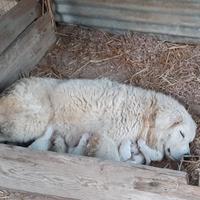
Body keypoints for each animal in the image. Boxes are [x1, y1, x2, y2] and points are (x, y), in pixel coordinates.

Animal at [0, 77, 197, 164]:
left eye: (190, 141)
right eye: (181, 133)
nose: (187, 156)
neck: (147, 117)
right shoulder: (109, 135)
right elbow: (112, 156)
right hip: (33, 120)